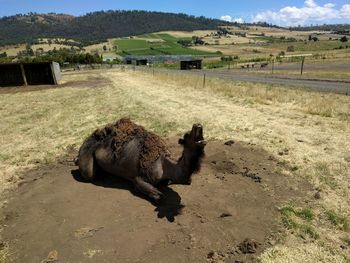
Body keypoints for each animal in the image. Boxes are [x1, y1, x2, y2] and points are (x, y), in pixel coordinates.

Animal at [75, 118, 206, 203]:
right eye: (187, 135)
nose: (198, 125)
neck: (164, 165)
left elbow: (186, 181)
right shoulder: (140, 177)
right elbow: (158, 196)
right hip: (87, 151)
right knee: (89, 174)